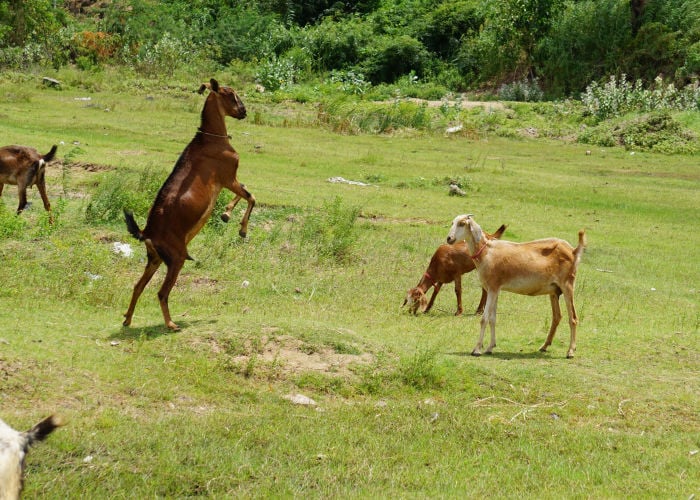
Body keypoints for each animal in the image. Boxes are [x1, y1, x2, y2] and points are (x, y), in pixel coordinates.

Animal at [122, 79, 254, 332]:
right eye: (230, 93)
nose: (243, 111)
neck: (211, 140)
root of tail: (147, 233)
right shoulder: (227, 177)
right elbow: (251, 195)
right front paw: (240, 229)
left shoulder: (228, 181)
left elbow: (245, 193)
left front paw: (225, 214)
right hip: (177, 258)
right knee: (162, 292)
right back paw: (171, 324)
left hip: (155, 259)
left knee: (138, 286)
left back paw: (127, 320)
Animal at [448, 215, 584, 360]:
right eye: (452, 222)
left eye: (462, 223)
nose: (449, 238)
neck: (486, 251)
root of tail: (573, 251)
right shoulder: (495, 289)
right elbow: (492, 319)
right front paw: (490, 347)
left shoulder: (492, 288)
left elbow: (484, 319)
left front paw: (477, 349)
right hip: (554, 291)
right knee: (557, 317)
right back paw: (544, 347)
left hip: (568, 285)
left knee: (573, 318)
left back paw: (570, 351)